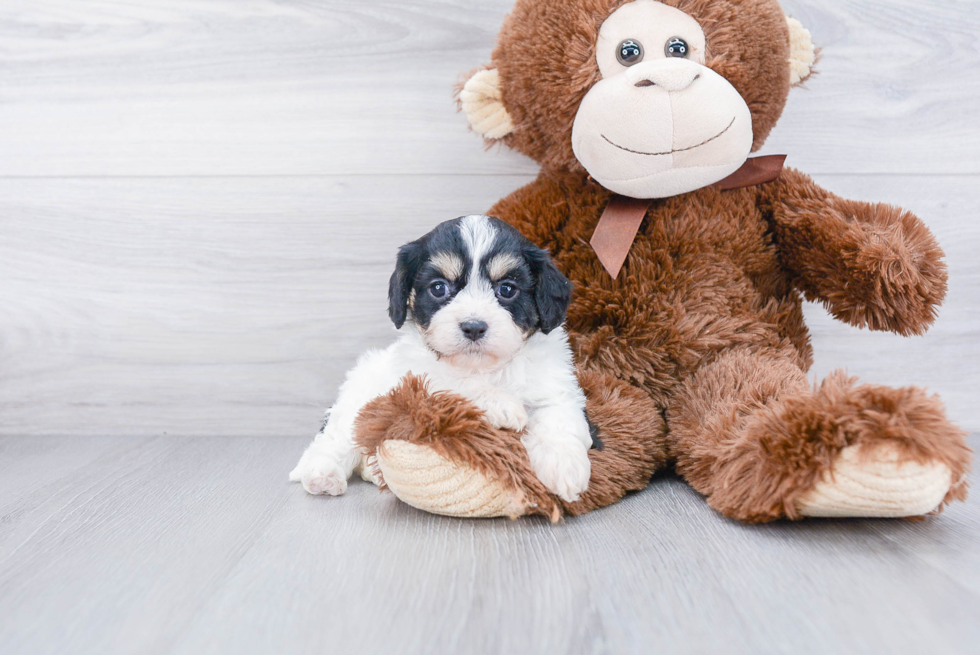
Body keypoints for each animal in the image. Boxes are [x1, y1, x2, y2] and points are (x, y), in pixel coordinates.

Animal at [288, 215, 592, 502]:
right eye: (438, 288)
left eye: (506, 289)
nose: (473, 327)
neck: (485, 368)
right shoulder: (416, 381)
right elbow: (454, 381)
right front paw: (500, 403)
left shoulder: (554, 386)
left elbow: (558, 416)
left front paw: (565, 468)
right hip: (357, 401)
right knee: (335, 438)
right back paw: (322, 474)